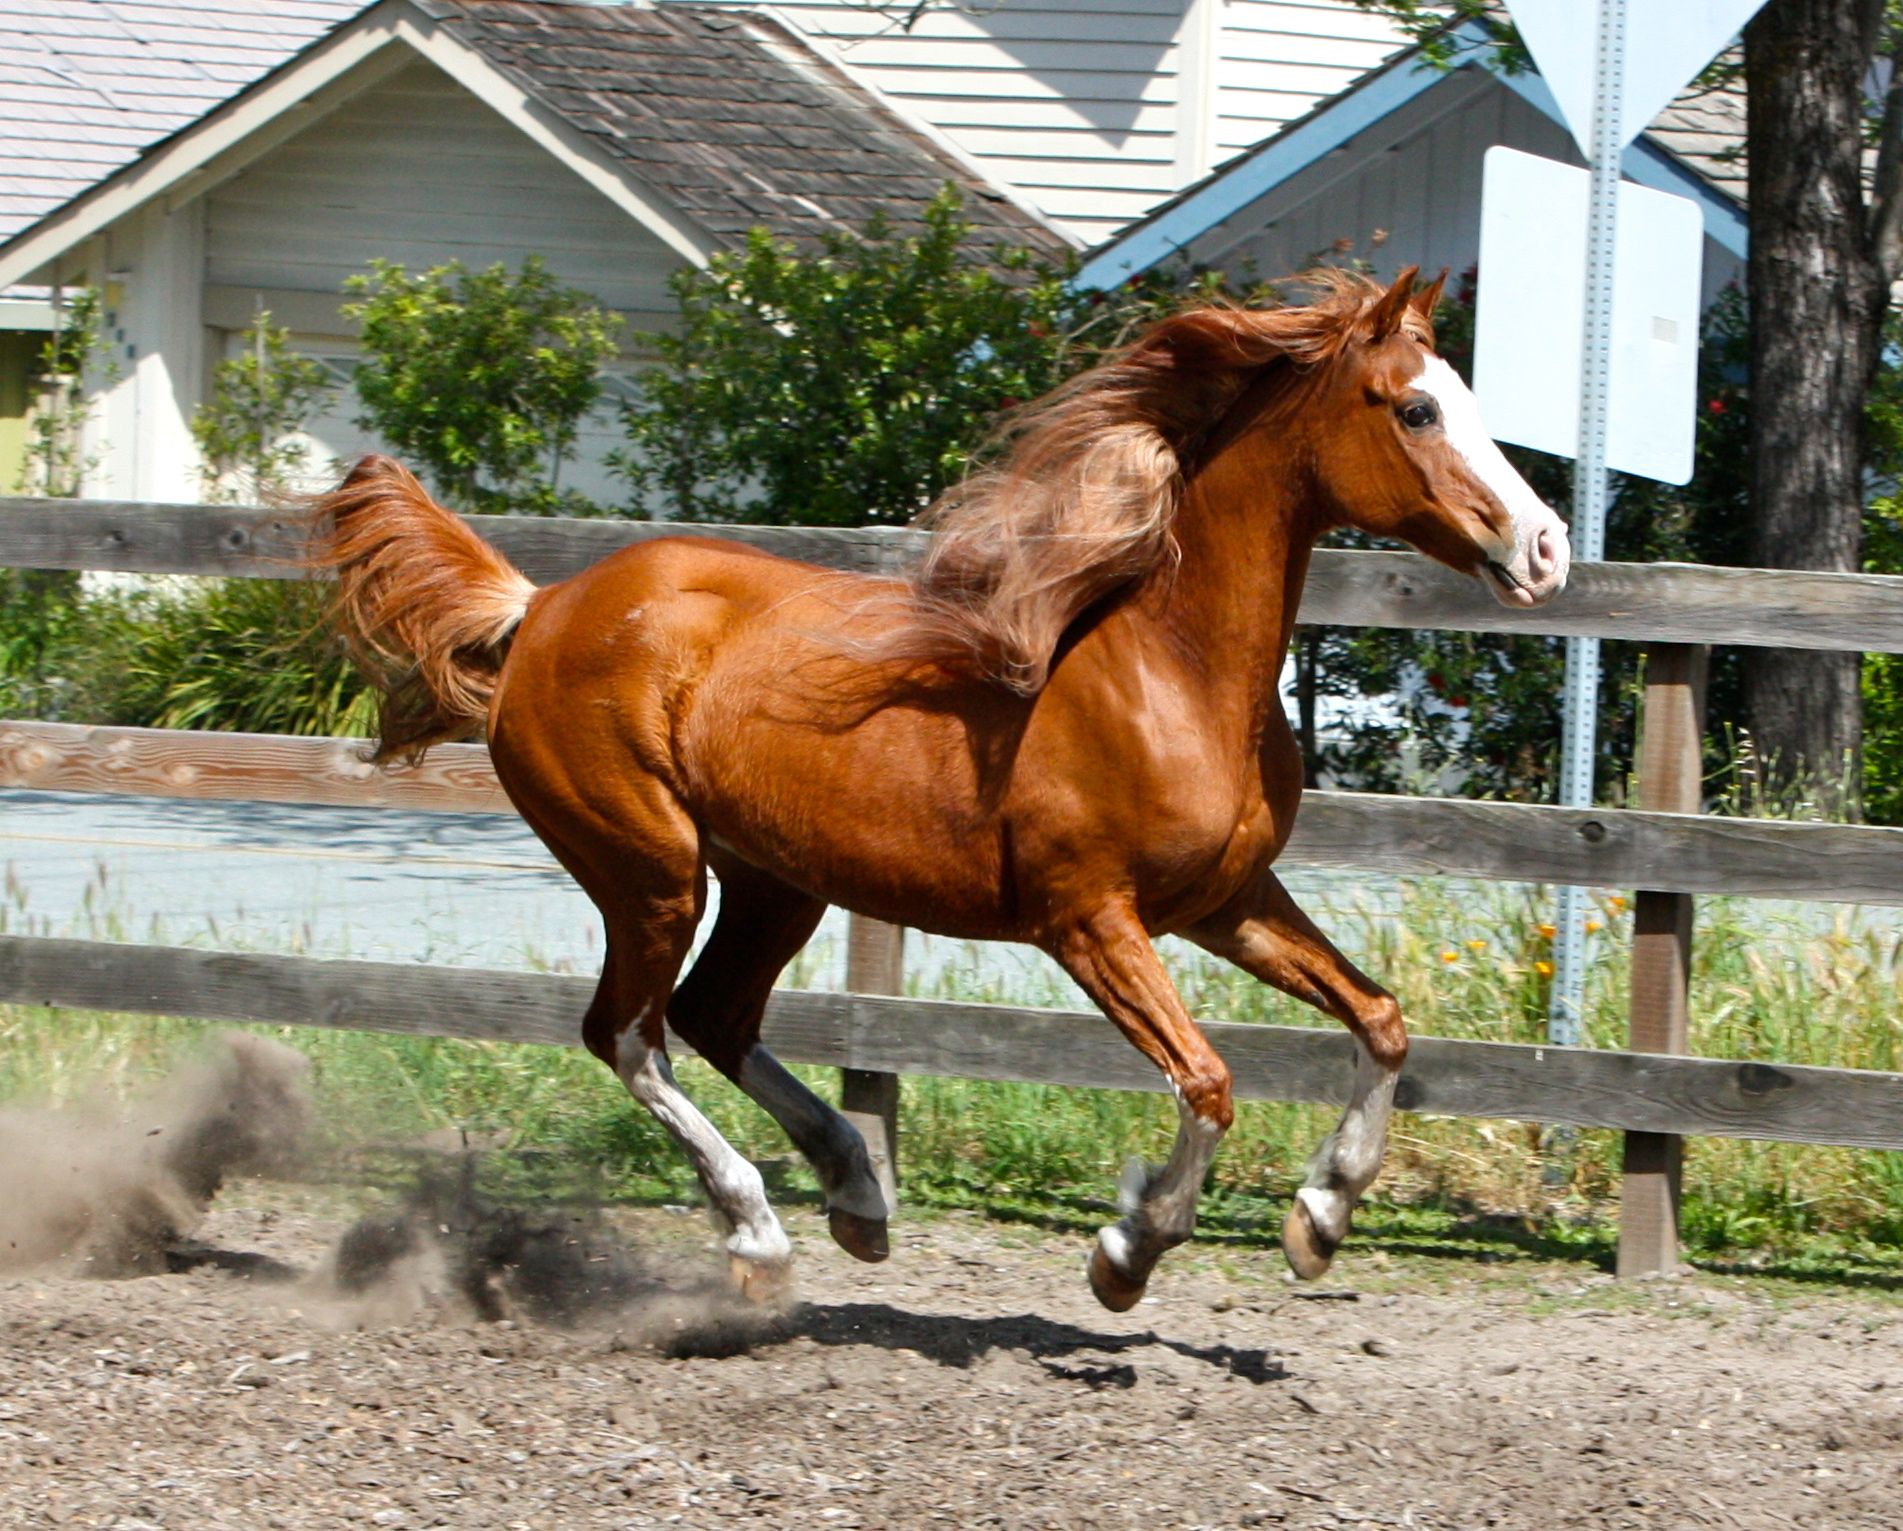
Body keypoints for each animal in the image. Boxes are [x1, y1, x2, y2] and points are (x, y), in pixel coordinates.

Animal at [308, 268, 1560, 1308]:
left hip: (776, 880)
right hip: (649, 868)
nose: (1544, 548)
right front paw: (1127, 1251)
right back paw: (760, 1236)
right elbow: (1206, 1081)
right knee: (629, 1034)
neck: (1167, 670)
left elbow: (1382, 1020)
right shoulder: (1088, 921)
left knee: (713, 1016)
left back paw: (856, 1194)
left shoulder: (1226, 901)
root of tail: (541, 610)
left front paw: (1320, 1218)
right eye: (1414, 409)